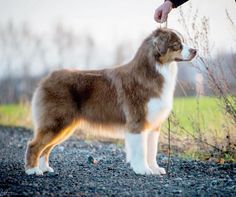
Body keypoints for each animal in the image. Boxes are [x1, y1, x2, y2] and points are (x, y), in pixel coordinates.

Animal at [24, 27, 196, 175]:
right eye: (177, 45)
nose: (195, 51)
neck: (155, 70)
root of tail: (47, 78)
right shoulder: (137, 121)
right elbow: (141, 150)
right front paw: (143, 170)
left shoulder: (153, 124)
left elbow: (152, 150)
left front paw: (154, 169)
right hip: (57, 122)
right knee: (34, 145)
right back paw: (33, 170)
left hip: (65, 126)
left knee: (46, 148)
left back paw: (45, 168)